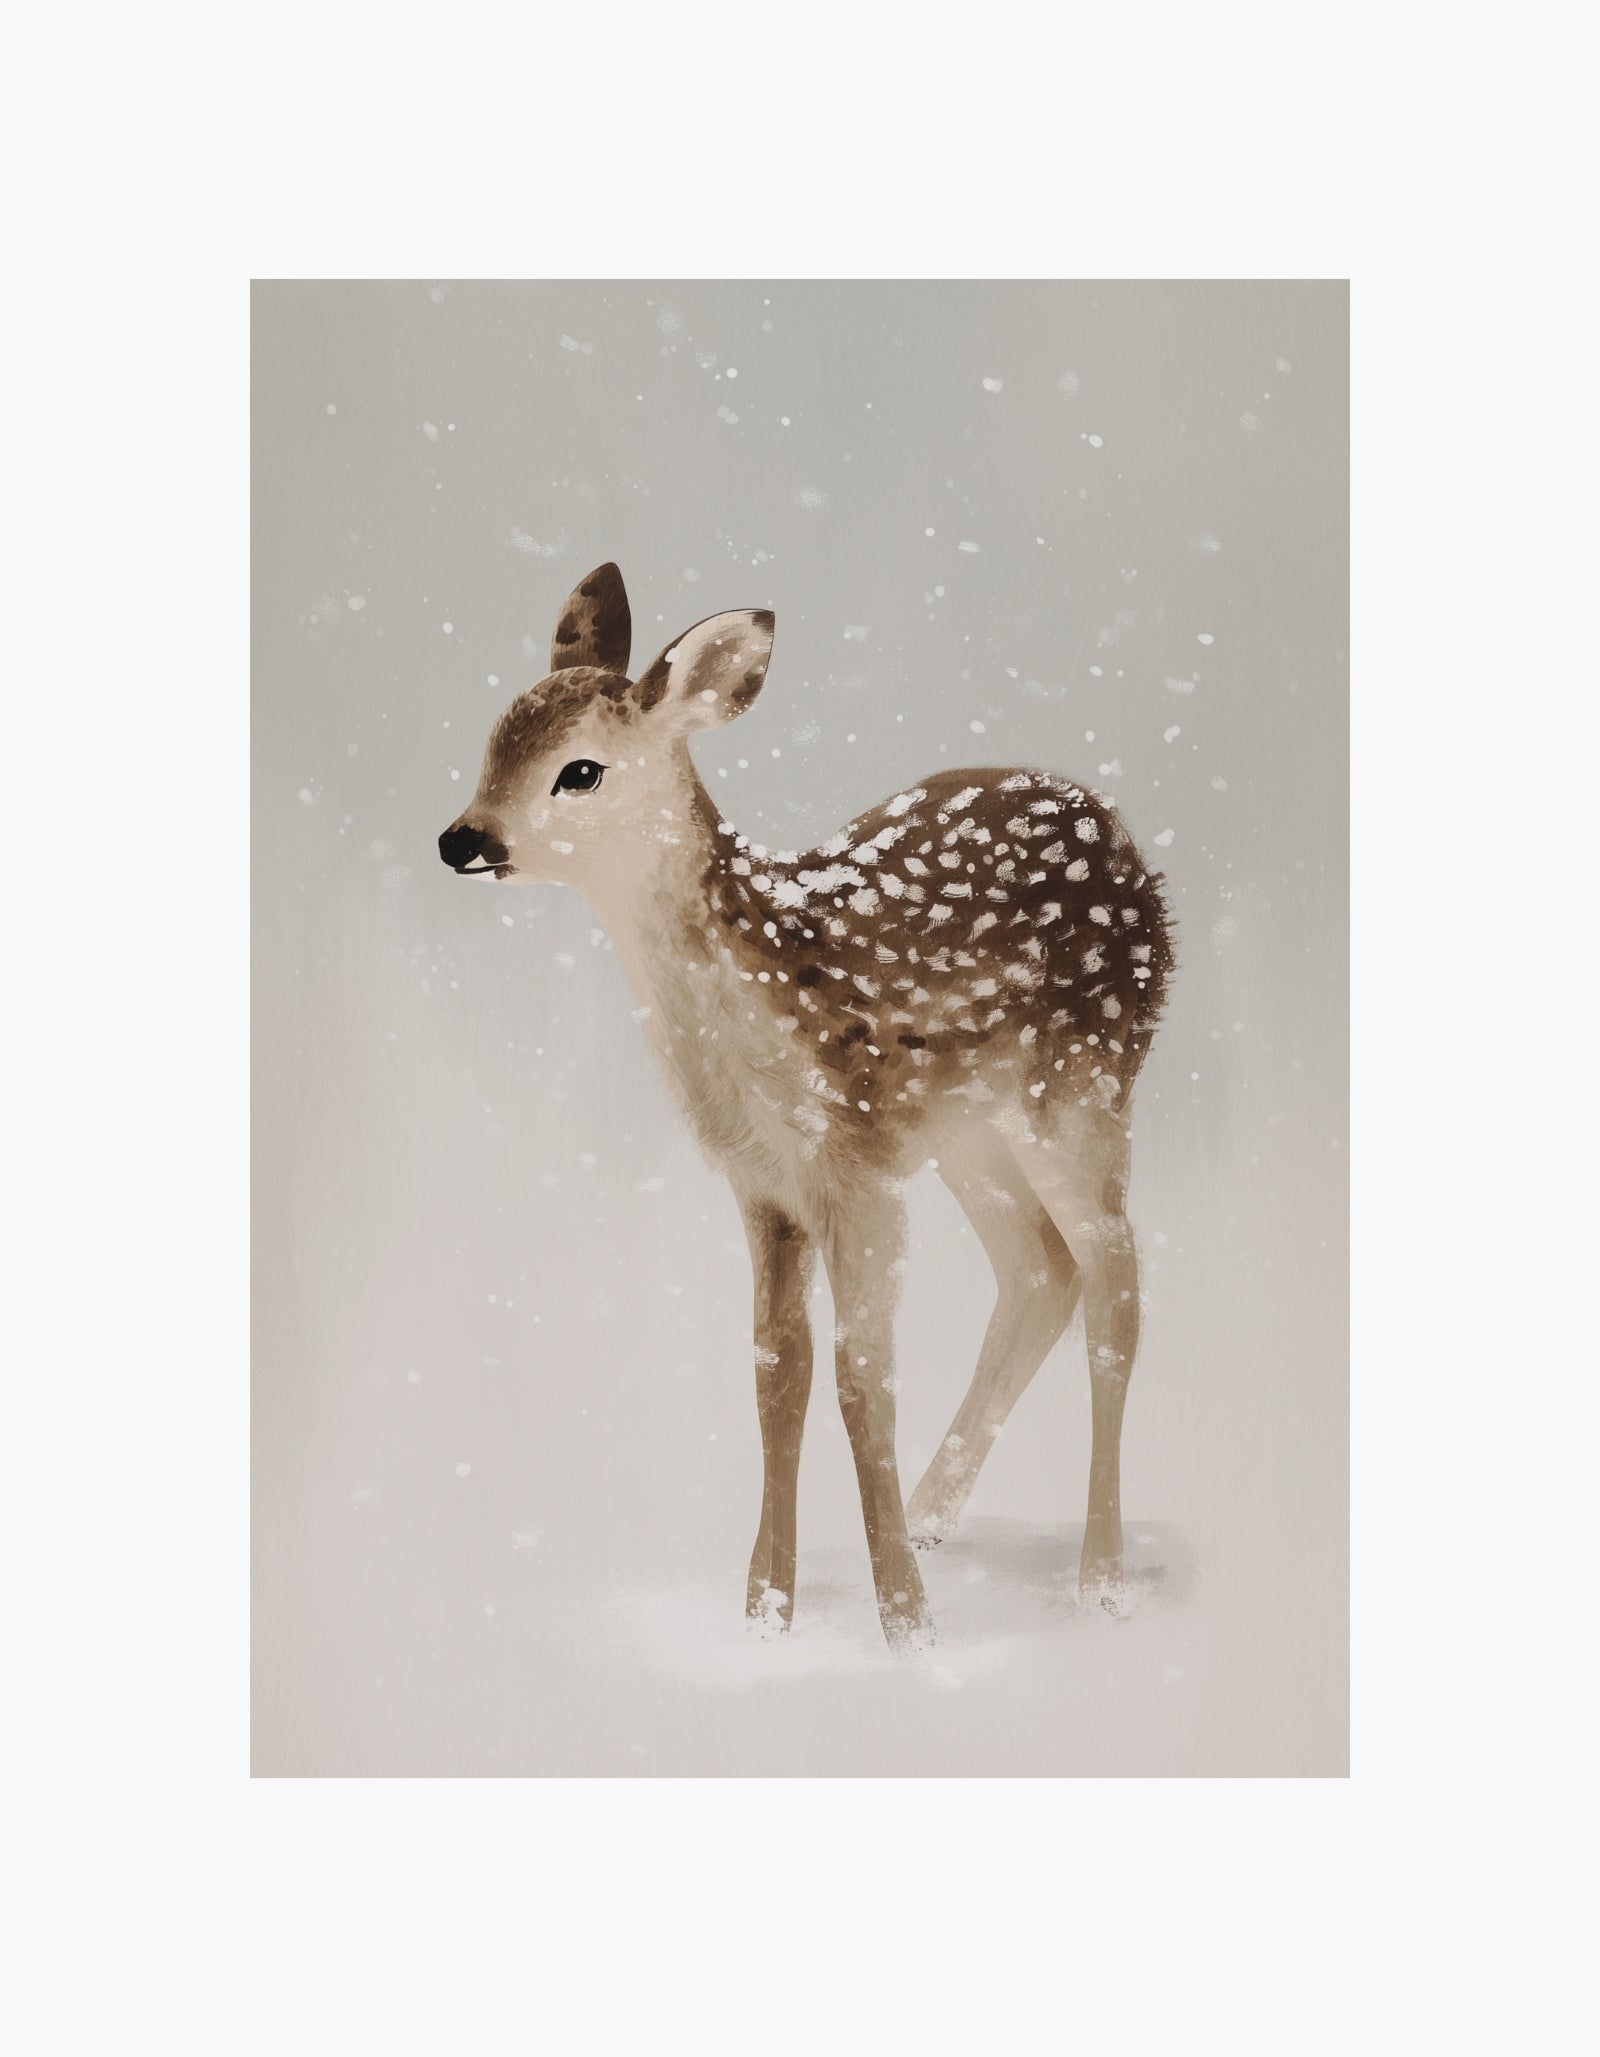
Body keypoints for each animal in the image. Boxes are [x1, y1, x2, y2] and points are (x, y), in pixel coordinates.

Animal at [438, 563, 1175, 1652]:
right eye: (495, 738)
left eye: (580, 771)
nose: (461, 838)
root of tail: (1125, 840)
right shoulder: (764, 1185)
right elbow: (776, 1375)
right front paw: (765, 1611)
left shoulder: (852, 1168)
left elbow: (863, 1378)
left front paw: (907, 1624)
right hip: (967, 1132)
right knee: (1042, 1270)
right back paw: (937, 1512)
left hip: (1081, 1088)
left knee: (1117, 1284)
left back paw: (1101, 1582)